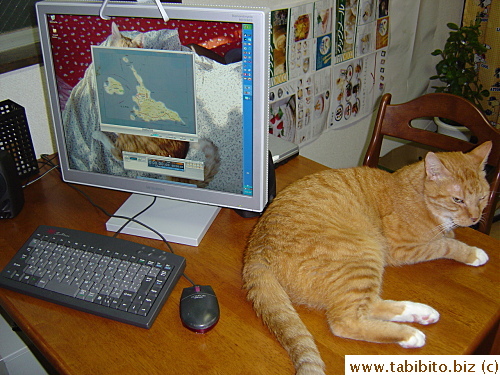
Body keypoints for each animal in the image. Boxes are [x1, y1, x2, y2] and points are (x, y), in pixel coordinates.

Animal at [243, 142, 492, 374]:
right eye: (457, 199)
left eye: (482, 197)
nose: (475, 218)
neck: (418, 194)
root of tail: (255, 249)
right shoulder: (402, 249)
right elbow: (446, 244)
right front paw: (472, 253)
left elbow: (447, 236)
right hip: (365, 254)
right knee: (345, 321)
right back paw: (409, 334)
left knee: (370, 306)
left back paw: (421, 313)